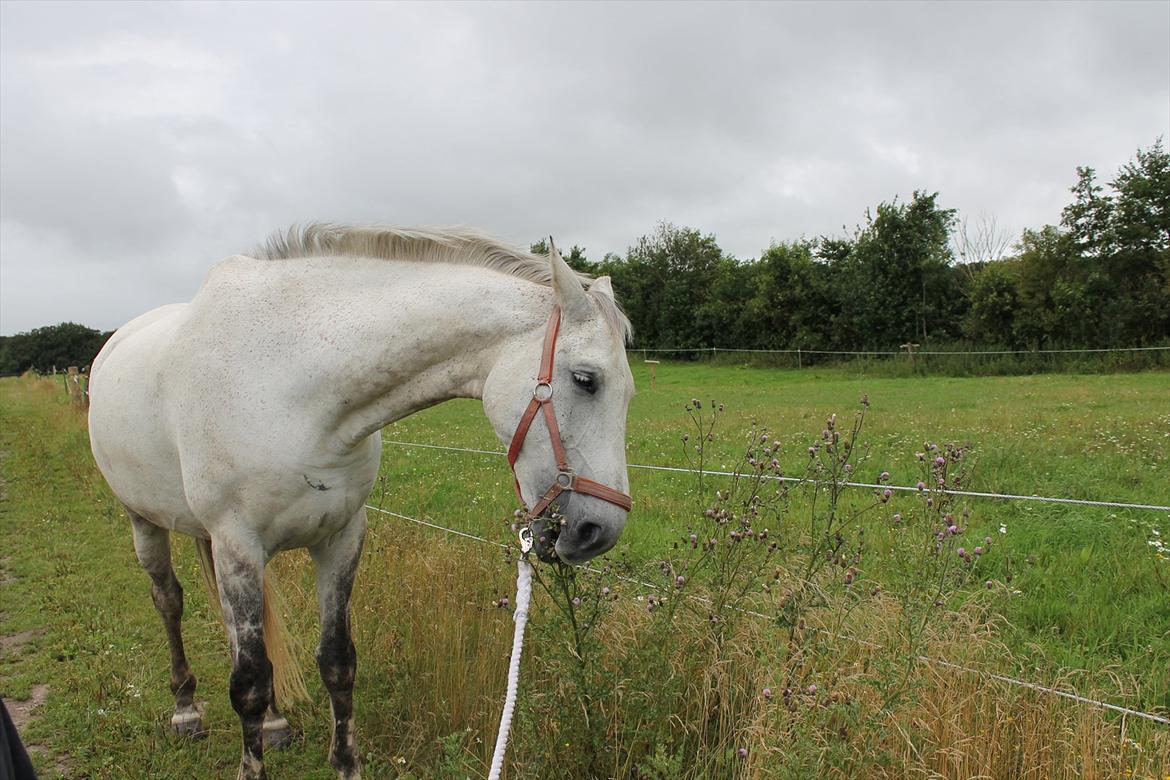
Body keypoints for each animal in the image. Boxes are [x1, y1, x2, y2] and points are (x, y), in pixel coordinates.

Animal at [86, 222, 636, 776]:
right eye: (585, 380)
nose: (599, 531)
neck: (291, 382)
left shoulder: (340, 537)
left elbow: (336, 661)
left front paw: (344, 762)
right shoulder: (236, 544)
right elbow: (248, 683)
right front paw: (249, 761)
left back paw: (274, 722)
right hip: (145, 522)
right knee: (169, 602)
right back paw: (186, 709)